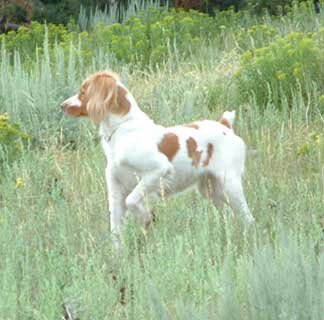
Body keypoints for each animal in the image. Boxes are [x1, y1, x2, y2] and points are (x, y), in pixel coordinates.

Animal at [60, 70, 253, 245]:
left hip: (230, 184)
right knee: (230, 215)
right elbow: (115, 230)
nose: (62, 105)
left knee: (248, 217)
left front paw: (146, 217)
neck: (123, 130)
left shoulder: (159, 170)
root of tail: (225, 125)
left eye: (83, 90)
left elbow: (132, 201)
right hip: (211, 190)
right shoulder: (116, 190)